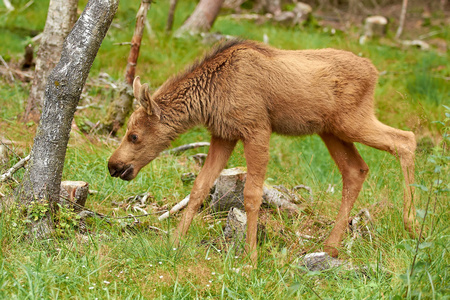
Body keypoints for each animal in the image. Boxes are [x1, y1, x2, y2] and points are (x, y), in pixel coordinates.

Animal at [107, 39, 416, 264]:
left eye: (134, 135)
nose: (113, 165)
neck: (207, 99)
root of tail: (374, 71)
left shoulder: (256, 128)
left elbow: (252, 195)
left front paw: (252, 257)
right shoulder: (223, 135)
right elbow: (199, 187)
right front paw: (174, 242)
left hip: (351, 122)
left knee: (406, 139)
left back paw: (411, 224)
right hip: (330, 130)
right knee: (356, 169)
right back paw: (331, 246)